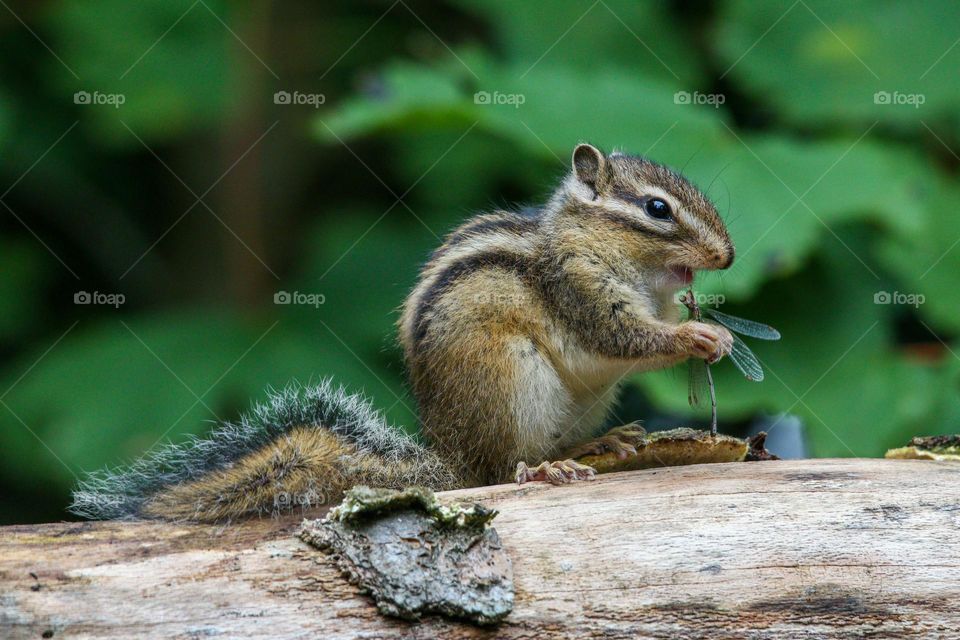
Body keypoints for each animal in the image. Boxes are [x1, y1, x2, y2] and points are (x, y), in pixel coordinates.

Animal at [70, 143, 735, 523]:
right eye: (656, 209)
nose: (726, 257)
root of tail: (446, 458)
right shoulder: (578, 287)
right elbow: (623, 338)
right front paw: (697, 338)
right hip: (512, 380)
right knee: (501, 468)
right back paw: (550, 468)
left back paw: (602, 441)